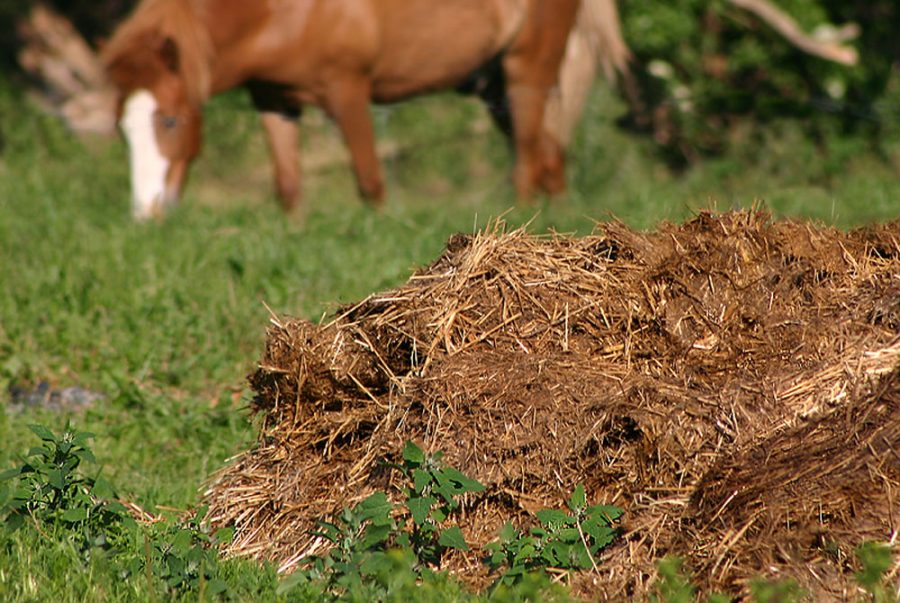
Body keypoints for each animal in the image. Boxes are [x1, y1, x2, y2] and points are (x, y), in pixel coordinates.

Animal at [105, 0, 624, 219]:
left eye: (170, 120)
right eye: (122, 130)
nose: (145, 212)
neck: (282, 10)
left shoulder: (348, 88)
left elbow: (370, 181)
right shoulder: (274, 100)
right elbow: (288, 186)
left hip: (527, 70)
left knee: (528, 159)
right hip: (491, 84)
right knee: (550, 154)